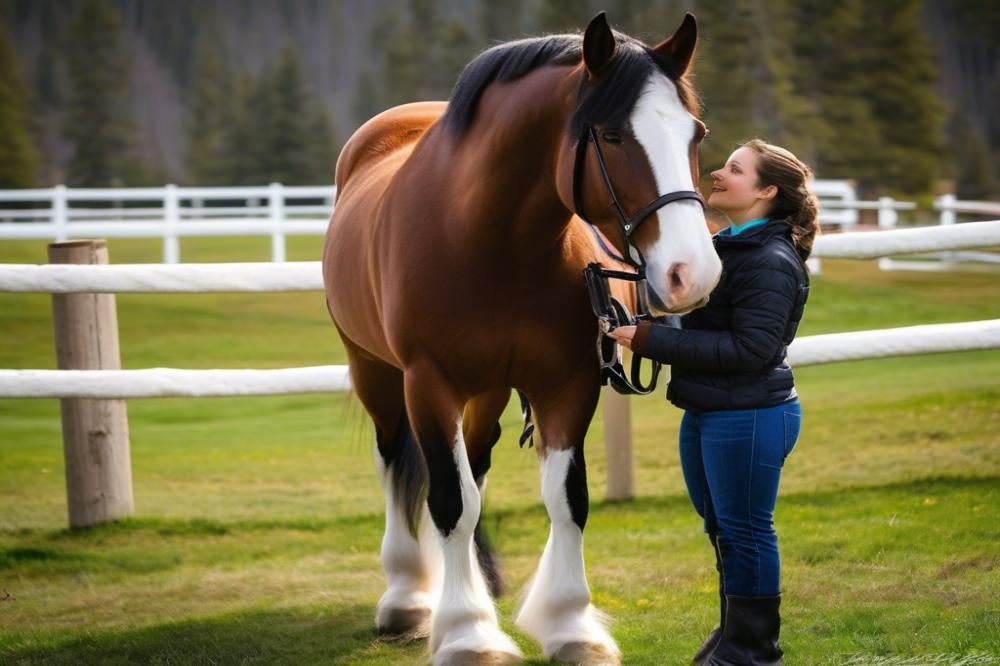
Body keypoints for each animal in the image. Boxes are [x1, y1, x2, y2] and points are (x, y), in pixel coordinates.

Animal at [324, 11, 724, 664]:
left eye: (696, 133)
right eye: (611, 135)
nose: (693, 273)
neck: (490, 241)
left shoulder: (568, 382)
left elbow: (565, 498)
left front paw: (569, 624)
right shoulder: (428, 382)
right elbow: (450, 501)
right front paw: (467, 633)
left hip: (486, 392)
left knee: (474, 467)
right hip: (375, 372)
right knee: (396, 463)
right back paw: (409, 596)